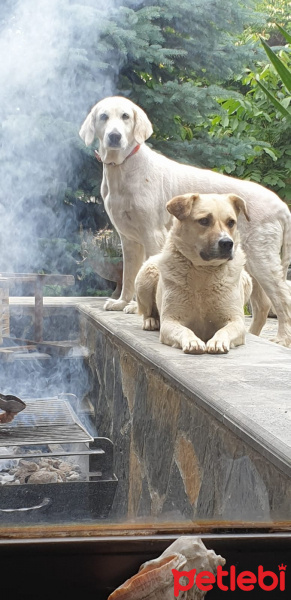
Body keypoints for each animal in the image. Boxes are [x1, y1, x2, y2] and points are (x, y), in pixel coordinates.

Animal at [137, 192, 253, 354]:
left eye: (231, 222)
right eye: (204, 221)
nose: (227, 243)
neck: (203, 271)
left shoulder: (236, 320)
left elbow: (224, 330)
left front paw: (217, 341)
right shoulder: (170, 321)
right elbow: (184, 330)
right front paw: (193, 341)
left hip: (247, 281)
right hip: (146, 274)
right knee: (146, 311)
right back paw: (151, 321)